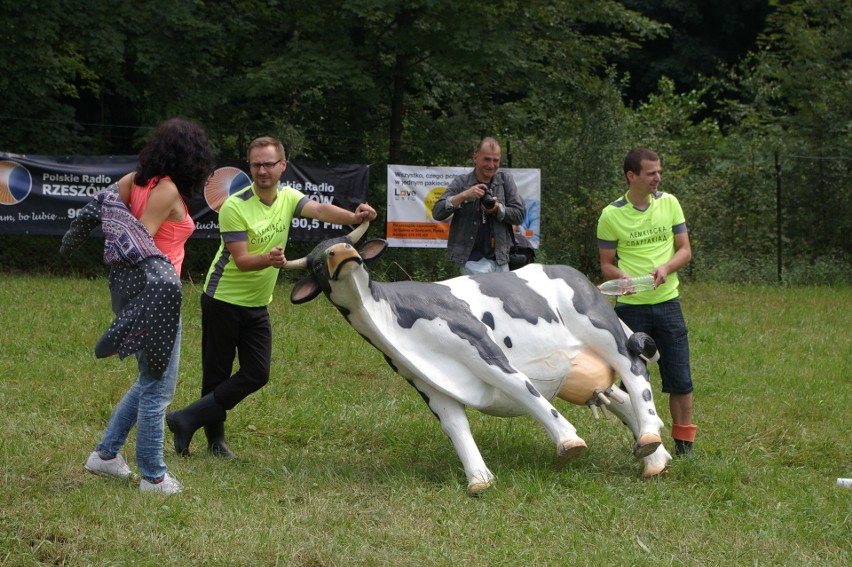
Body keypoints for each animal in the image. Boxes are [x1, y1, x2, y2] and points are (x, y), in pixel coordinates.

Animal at [286, 224, 672, 494]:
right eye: (318, 262)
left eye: (348, 243)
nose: (341, 251)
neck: (390, 315)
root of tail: (576, 274)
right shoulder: (427, 382)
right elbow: (456, 426)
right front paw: (479, 479)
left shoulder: (481, 347)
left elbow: (523, 390)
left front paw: (568, 442)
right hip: (580, 366)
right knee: (619, 397)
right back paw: (654, 457)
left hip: (601, 327)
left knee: (635, 371)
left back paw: (648, 438)